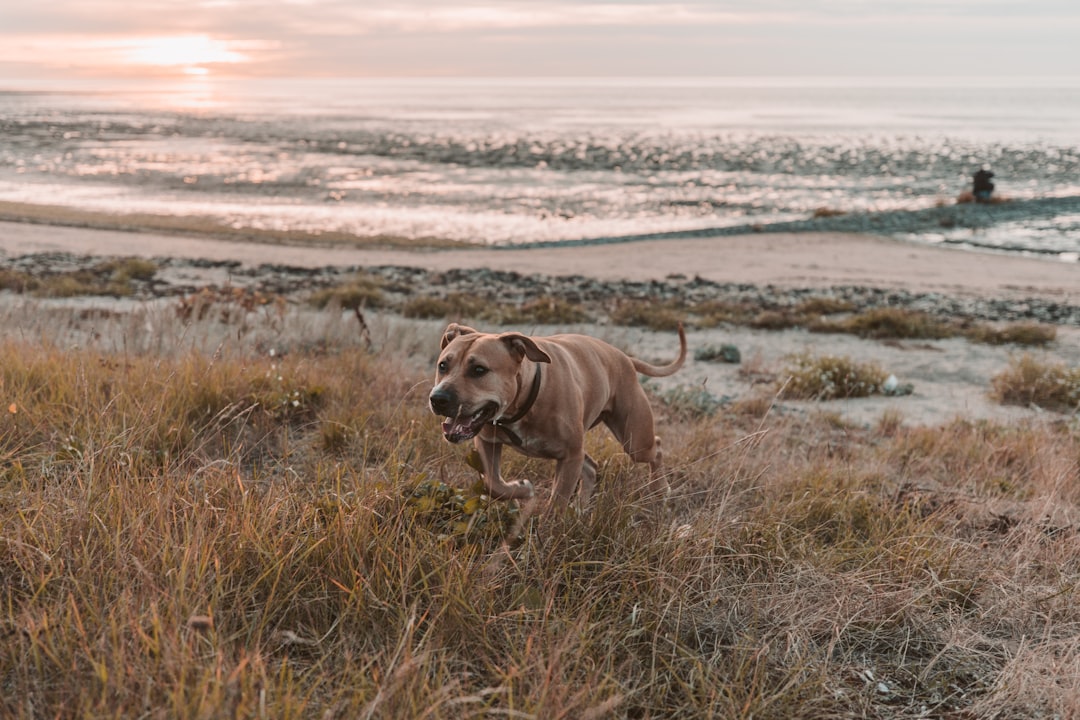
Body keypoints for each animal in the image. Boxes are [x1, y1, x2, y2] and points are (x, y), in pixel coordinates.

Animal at [427, 323, 686, 509]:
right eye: (443, 366)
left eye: (479, 370)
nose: (438, 398)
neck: (523, 401)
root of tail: (624, 357)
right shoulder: (487, 442)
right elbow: (494, 484)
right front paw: (522, 489)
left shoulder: (570, 456)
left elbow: (557, 503)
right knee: (591, 467)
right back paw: (580, 509)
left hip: (634, 440)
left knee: (656, 447)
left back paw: (662, 490)